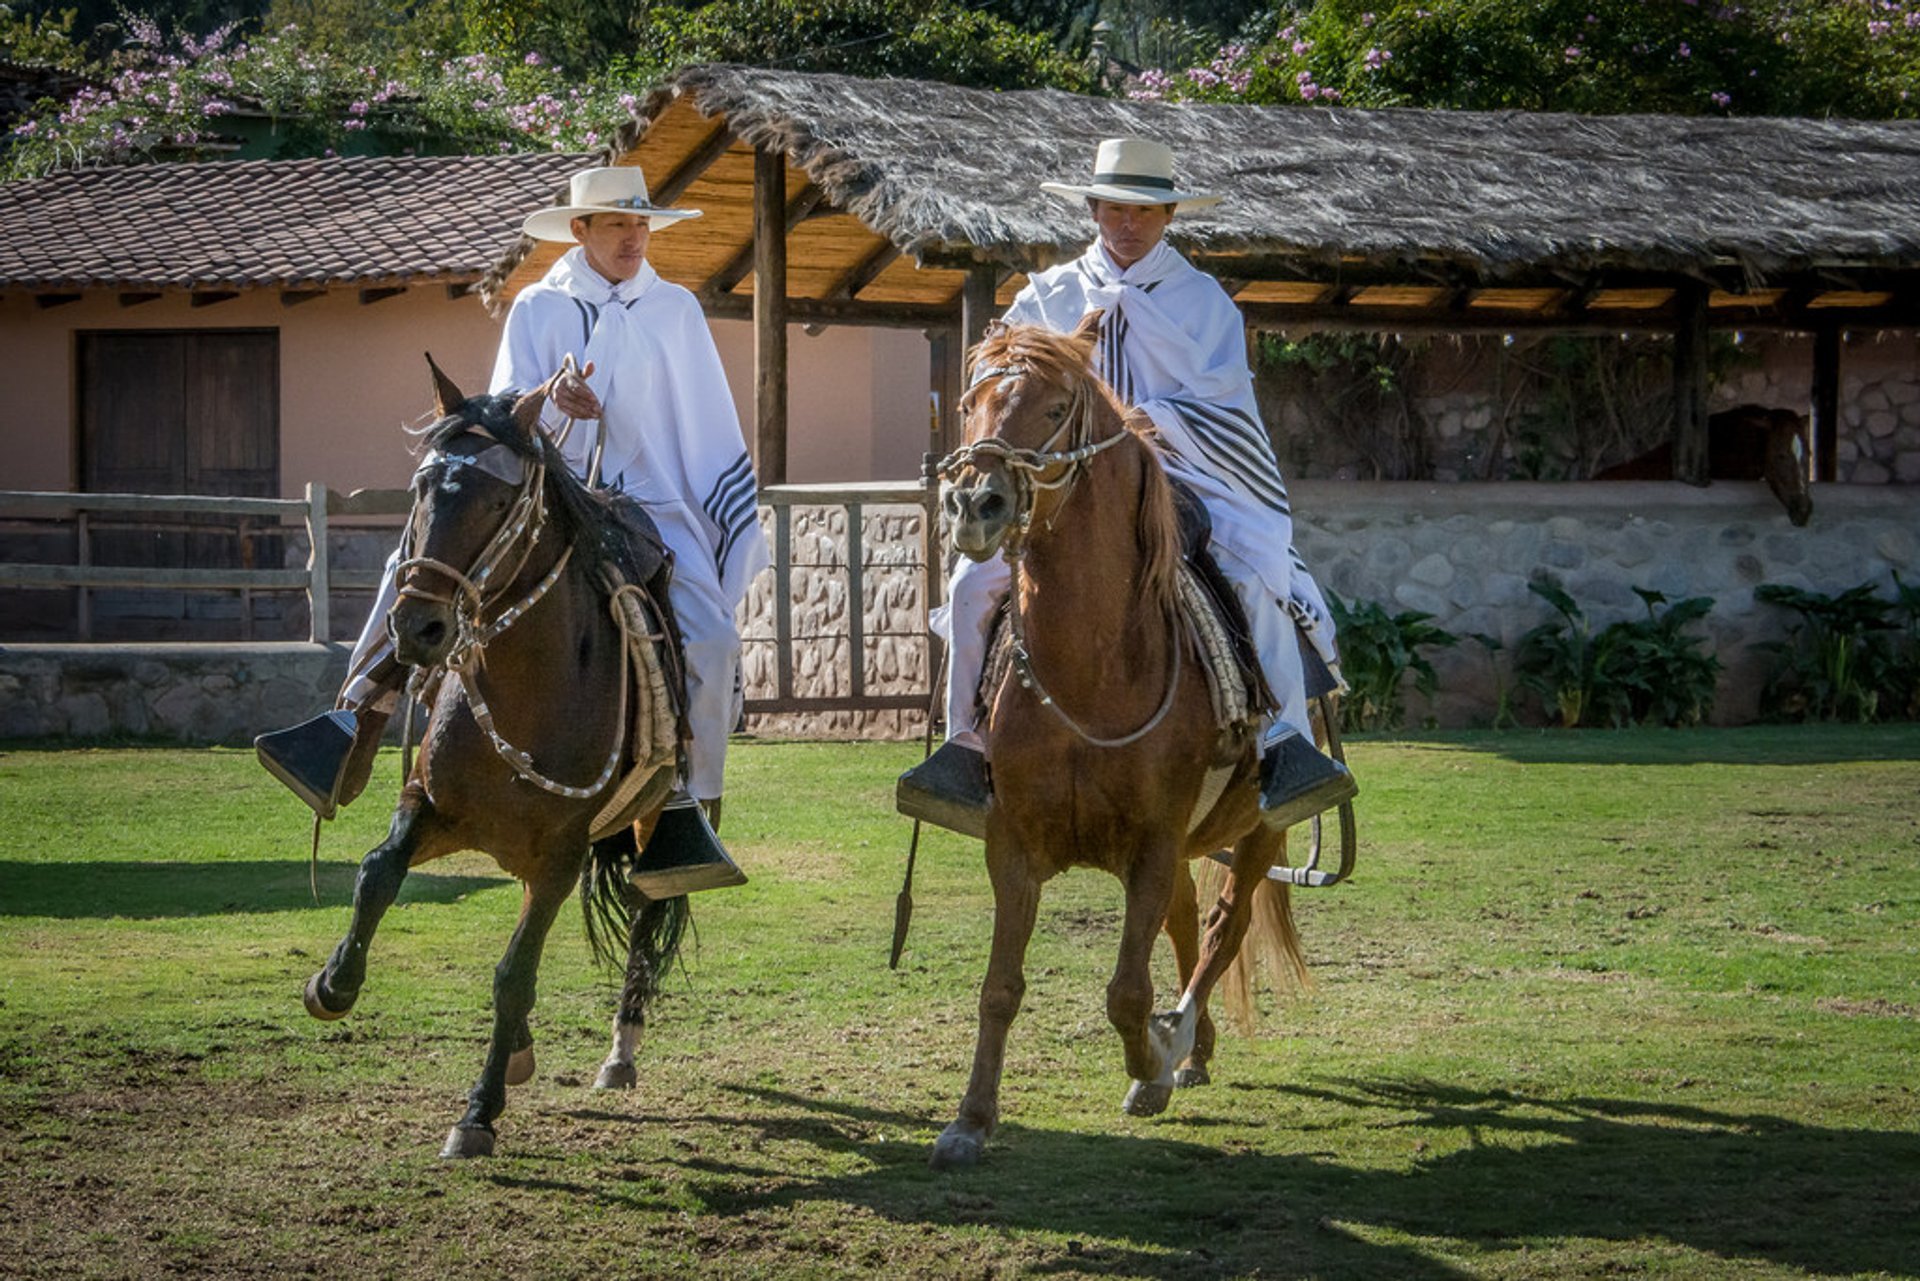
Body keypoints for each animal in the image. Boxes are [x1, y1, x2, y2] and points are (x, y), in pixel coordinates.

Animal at [299, 361, 691, 1160]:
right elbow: (376, 873)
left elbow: (514, 973)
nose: (417, 625)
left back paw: (619, 1050)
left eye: (501, 497)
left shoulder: (561, 857)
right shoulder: (431, 806)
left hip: (649, 830)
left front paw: (477, 1112)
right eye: (422, 486)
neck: (526, 691)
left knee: (646, 909)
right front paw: (333, 983)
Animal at [925, 318, 1305, 1175]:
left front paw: (1151, 1064)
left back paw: (1181, 1041)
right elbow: (1000, 987)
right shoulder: (1013, 844)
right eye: (968, 404)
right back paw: (1197, 1049)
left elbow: (1127, 990)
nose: (974, 502)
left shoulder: (1154, 841)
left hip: (1261, 829)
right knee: (1190, 921)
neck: (1091, 669)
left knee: (1223, 925)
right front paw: (971, 1118)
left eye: (1054, 405)